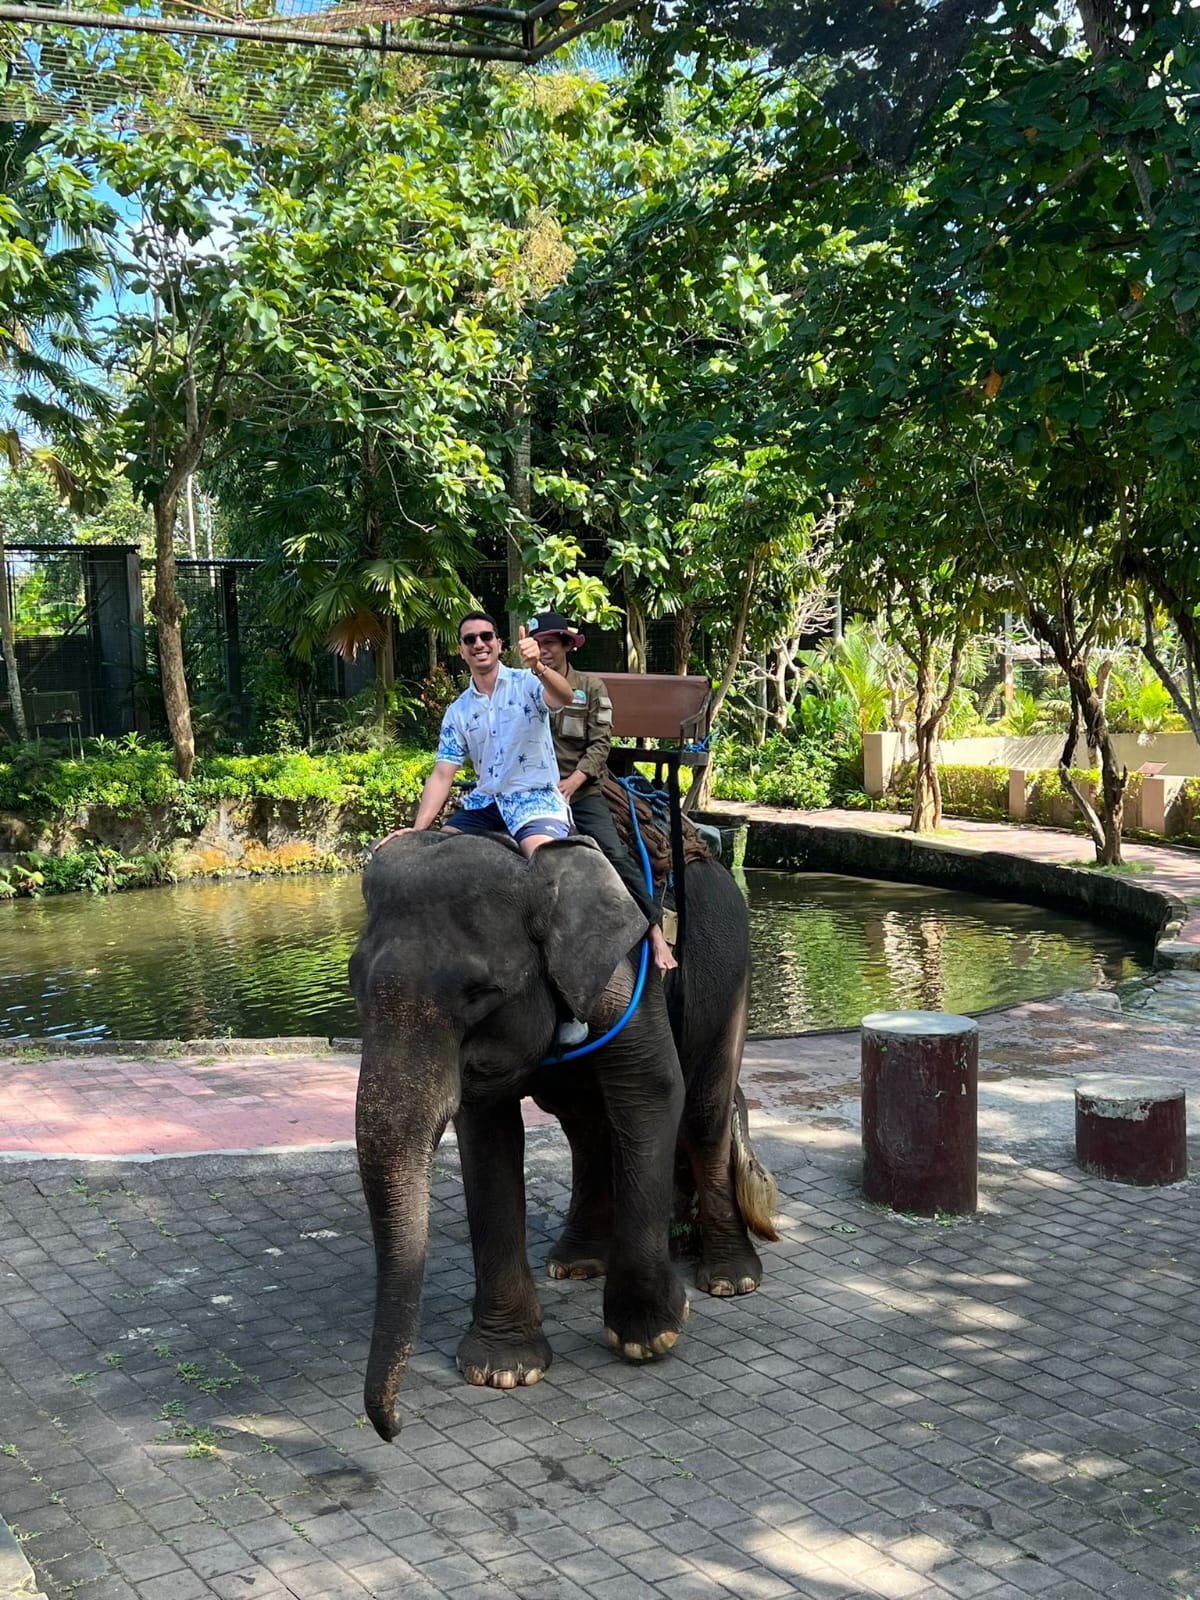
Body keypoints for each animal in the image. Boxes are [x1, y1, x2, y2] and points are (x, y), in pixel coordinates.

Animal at [349, 829, 778, 1442]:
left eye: (481, 993)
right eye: (353, 985)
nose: (394, 1427)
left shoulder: (629, 975)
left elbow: (651, 1092)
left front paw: (648, 1337)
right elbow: (486, 1134)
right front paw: (502, 1370)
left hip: (727, 965)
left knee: (703, 1109)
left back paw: (730, 1280)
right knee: (587, 1122)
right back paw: (576, 1264)